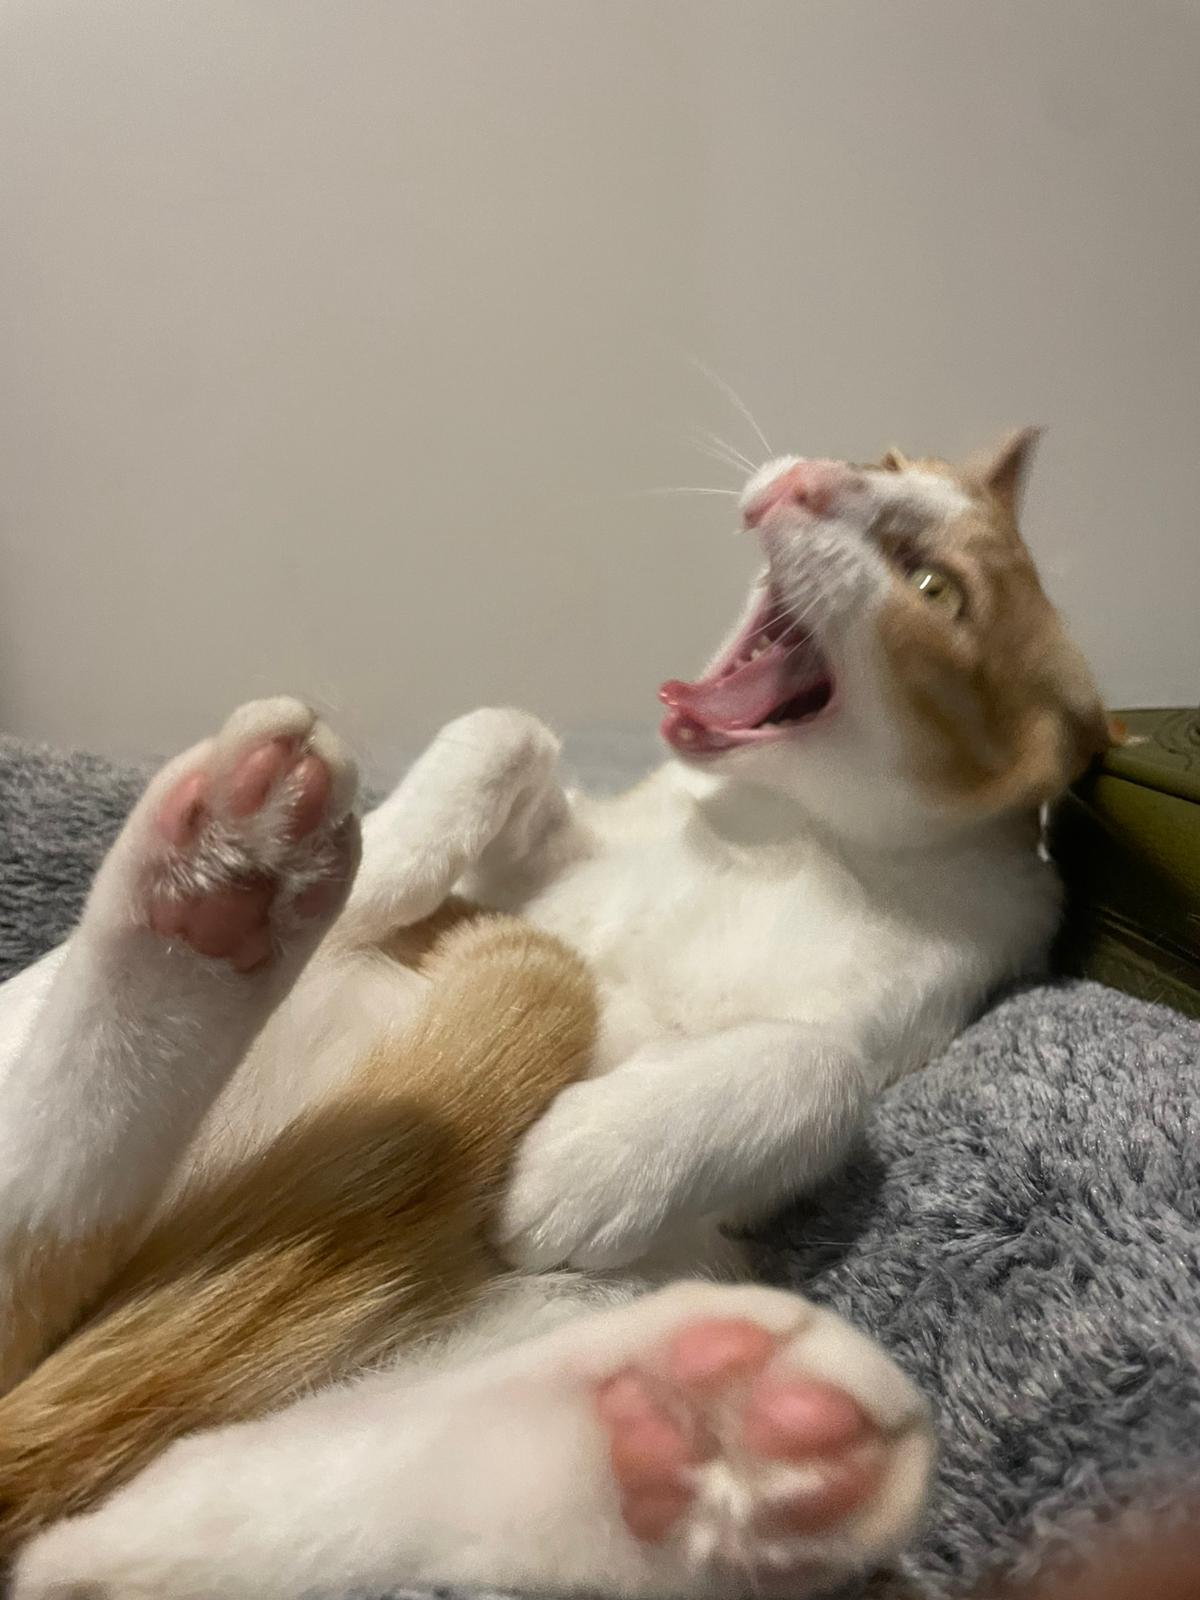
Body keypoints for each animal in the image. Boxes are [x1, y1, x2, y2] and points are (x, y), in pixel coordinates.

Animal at [0, 430, 1110, 1599]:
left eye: (935, 587)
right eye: (881, 461)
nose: (807, 478)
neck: (780, 827)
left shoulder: (883, 1048)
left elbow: (821, 1063)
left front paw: (589, 1160)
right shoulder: (529, 874)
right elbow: (507, 731)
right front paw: (383, 864)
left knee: (144, 1516)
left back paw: (708, 1449)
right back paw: (231, 869)